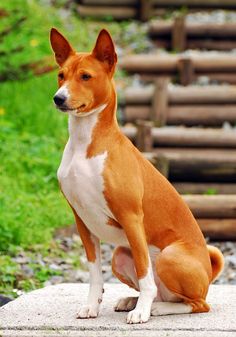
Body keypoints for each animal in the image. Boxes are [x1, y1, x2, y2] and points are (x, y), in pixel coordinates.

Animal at [49, 28, 223, 322]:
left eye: (85, 76)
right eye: (61, 75)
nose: (58, 98)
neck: (85, 146)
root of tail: (208, 275)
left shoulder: (131, 218)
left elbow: (144, 272)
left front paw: (142, 311)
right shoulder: (82, 220)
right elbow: (94, 274)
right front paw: (92, 306)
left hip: (170, 257)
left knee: (195, 303)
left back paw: (154, 307)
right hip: (120, 255)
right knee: (169, 294)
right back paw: (132, 300)